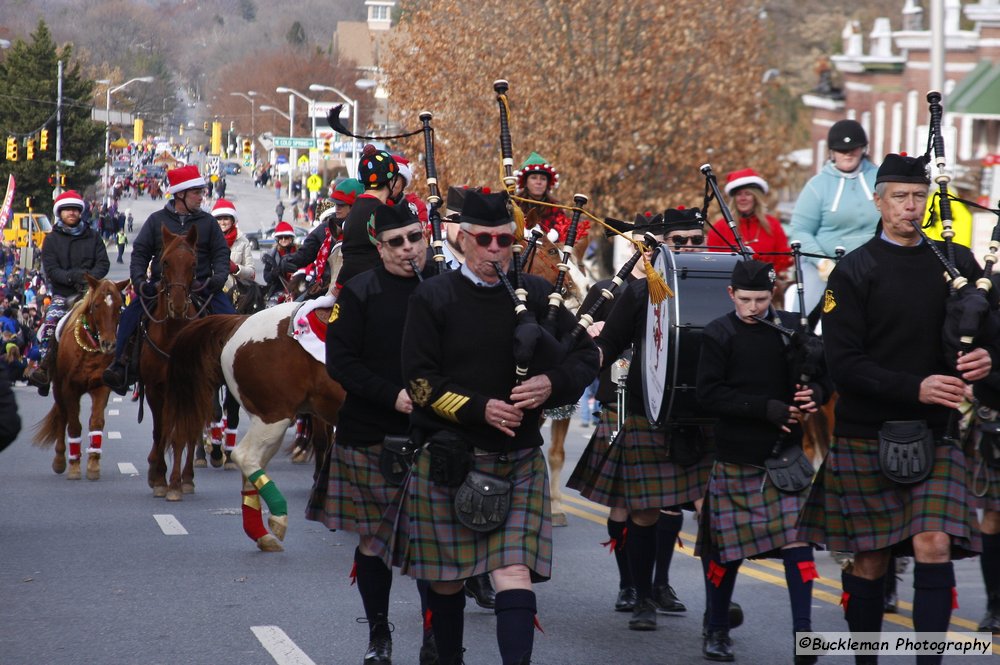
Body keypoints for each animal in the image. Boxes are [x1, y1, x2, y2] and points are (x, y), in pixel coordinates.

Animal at [33, 274, 130, 478]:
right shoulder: (69, 388)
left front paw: (93, 464)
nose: (109, 344)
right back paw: (60, 460)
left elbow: (96, 422)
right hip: (57, 388)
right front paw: (74, 466)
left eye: (119, 306)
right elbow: (73, 424)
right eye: (96, 305)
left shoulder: (101, 387)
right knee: (62, 416)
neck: (89, 348)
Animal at [164, 300, 348, 548]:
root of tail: (239, 321)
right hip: (273, 415)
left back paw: (260, 532)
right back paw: (278, 517)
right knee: (245, 456)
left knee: (253, 462)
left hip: (270, 420)